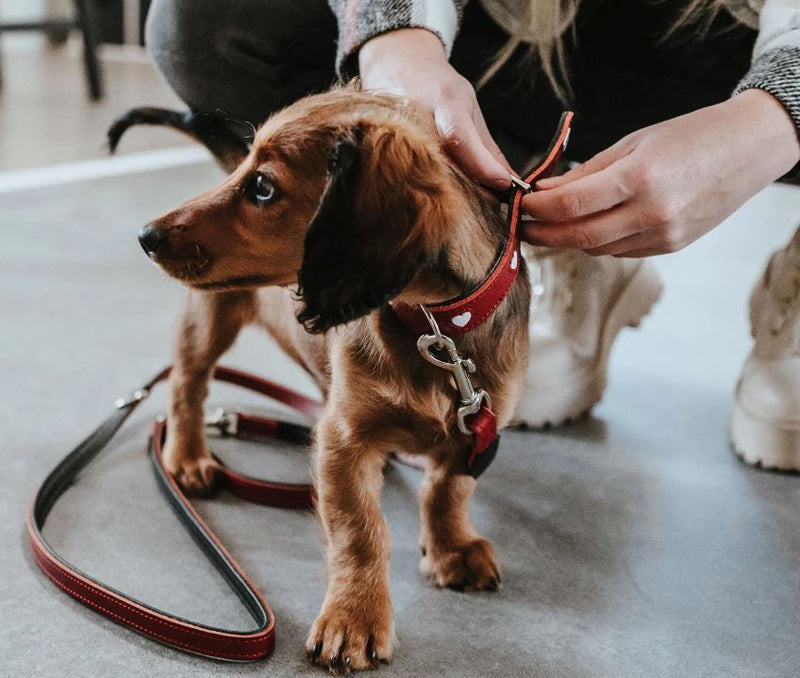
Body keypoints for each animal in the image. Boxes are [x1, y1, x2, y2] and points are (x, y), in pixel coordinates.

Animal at [111, 86, 524, 676]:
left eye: (262, 187)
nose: (146, 236)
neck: (434, 330)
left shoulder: (478, 430)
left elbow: (449, 489)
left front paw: (450, 548)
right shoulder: (343, 440)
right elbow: (361, 532)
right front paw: (354, 618)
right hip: (207, 319)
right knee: (188, 386)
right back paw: (187, 457)